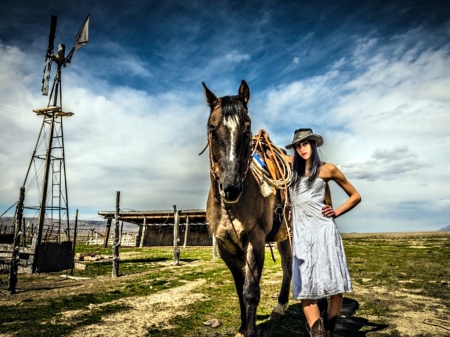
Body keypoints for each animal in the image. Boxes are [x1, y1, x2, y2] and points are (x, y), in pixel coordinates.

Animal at [203, 80, 292, 336]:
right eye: (212, 129)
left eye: (247, 130)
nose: (230, 187)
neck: (230, 208)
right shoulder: (226, 247)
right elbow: (239, 287)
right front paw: (243, 326)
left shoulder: (256, 240)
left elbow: (250, 291)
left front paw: (250, 331)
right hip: (283, 236)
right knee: (287, 264)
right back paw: (280, 307)